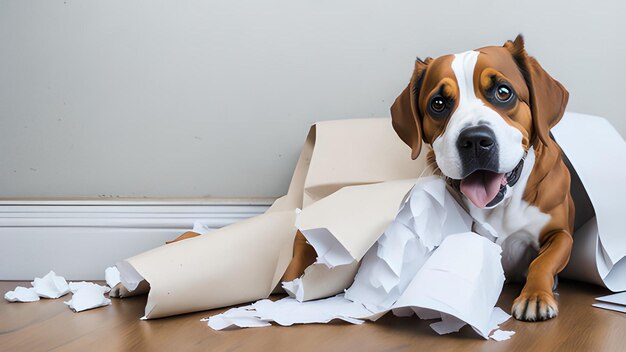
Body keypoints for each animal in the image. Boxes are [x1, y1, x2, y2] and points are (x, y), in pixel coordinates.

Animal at [392, 35, 572, 322]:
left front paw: (535, 295)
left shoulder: (560, 233)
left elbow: (543, 261)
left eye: (503, 92)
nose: (475, 140)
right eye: (438, 104)